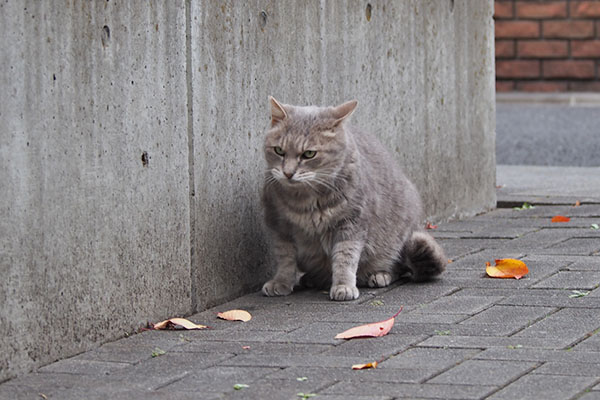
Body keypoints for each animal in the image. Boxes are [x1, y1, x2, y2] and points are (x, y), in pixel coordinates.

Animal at [262, 98, 446, 302]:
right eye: (279, 150)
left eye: (309, 154)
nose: (288, 173)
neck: (305, 200)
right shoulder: (279, 226)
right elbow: (285, 258)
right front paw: (280, 282)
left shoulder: (352, 224)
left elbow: (345, 257)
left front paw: (343, 286)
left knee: (397, 267)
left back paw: (379, 275)